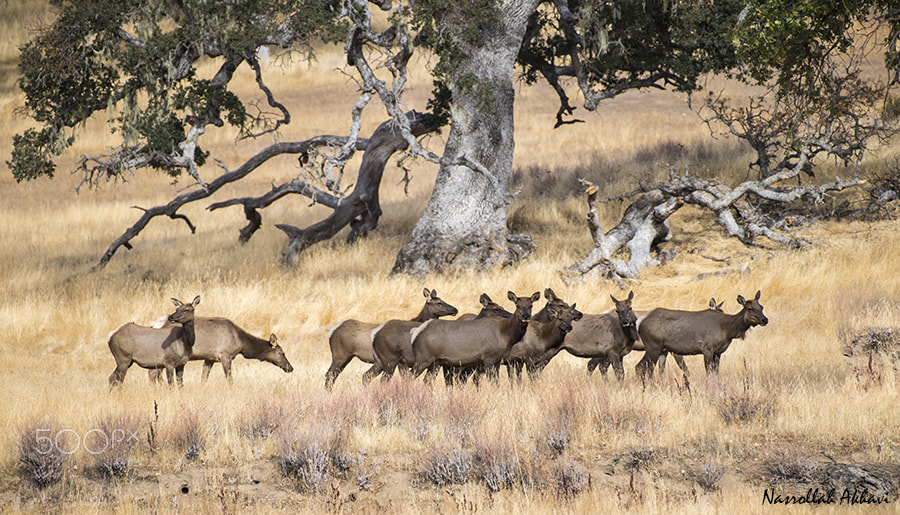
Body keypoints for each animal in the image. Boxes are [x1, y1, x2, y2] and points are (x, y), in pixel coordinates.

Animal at [147, 317, 292, 384]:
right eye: (281, 353)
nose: (290, 368)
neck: (241, 343)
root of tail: (155, 324)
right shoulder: (225, 355)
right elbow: (229, 378)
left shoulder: (209, 358)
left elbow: (204, 378)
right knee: (154, 374)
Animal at [411, 291, 541, 384]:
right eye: (517, 305)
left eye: (531, 305)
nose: (525, 316)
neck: (506, 334)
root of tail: (417, 332)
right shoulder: (488, 357)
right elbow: (492, 382)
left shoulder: (498, 360)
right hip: (423, 358)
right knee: (410, 376)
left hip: (436, 362)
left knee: (427, 380)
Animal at [636, 290, 768, 378]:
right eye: (750, 308)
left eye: (761, 307)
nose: (765, 320)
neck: (728, 330)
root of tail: (640, 321)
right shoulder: (707, 349)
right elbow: (708, 373)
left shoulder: (718, 352)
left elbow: (716, 373)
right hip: (653, 346)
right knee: (644, 368)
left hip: (660, 349)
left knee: (642, 367)